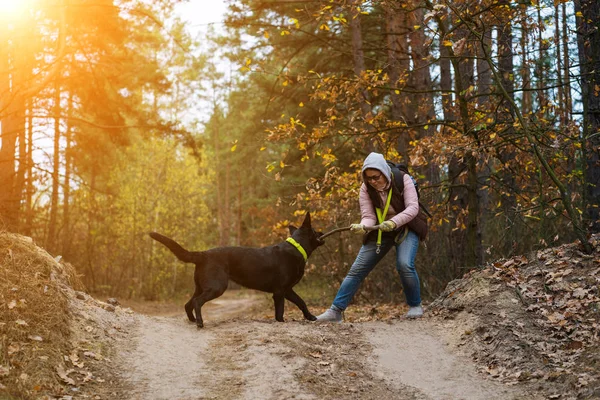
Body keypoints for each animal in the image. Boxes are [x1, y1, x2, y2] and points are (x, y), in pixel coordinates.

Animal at [149, 212, 324, 328]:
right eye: (315, 230)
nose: (323, 232)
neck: (297, 248)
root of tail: (203, 254)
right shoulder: (280, 291)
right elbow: (280, 312)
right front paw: (281, 322)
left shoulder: (288, 290)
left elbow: (301, 302)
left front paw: (310, 316)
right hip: (217, 287)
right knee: (197, 302)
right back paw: (200, 323)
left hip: (201, 287)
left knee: (188, 304)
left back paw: (192, 321)